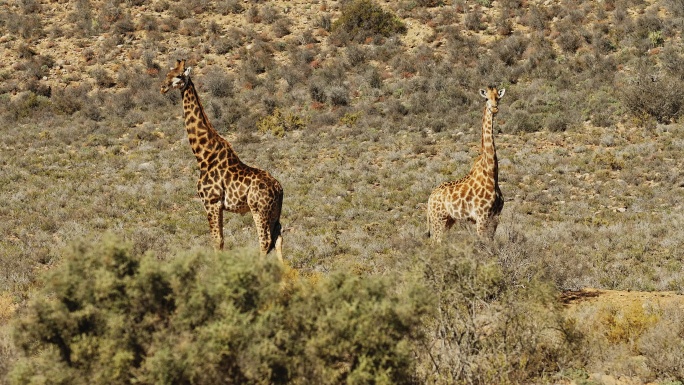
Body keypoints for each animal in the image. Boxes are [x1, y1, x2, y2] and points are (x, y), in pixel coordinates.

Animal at [161, 58, 284, 260]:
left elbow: (217, 242)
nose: (162, 87)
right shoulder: (216, 205)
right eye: (167, 74)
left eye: (178, 76)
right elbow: (221, 241)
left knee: (265, 240)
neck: (203, 156)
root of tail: (279, 189)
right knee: (278, 238)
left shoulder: (211, 202)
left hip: (259, 209)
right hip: (275, 212)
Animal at [428, 86, 508, 240]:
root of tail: (429, 199)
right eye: (486, 98)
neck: (491, 173)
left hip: (448, 220)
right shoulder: (482, 217)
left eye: (498, 97)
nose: (494, 108)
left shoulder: (495, 217)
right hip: (438, 220)